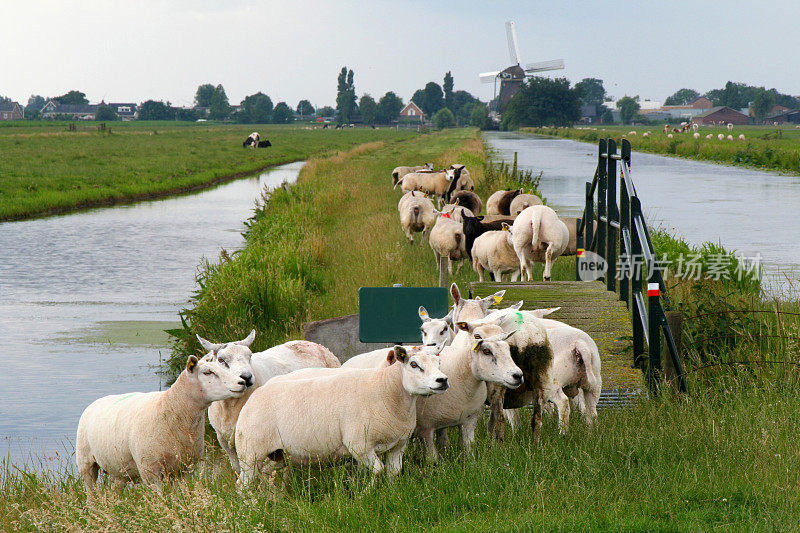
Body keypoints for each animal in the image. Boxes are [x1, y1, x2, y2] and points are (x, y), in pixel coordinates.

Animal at [78, 356, 248, 488]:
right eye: (207, 372)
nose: (242, 382)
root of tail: (97, 401)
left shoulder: (185, 468)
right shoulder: (150, 472)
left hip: (119, 470)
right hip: (85, 462)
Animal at [236, 344, 450, 482]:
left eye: (438, 363)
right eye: (414, 365)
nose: (442, 380)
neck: (385, 390)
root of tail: (254, 396)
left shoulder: (398, 445)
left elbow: (392, 474)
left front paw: (391, 494)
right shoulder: (360, 446)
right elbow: (377, 472)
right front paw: (367, 495)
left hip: (277, 455)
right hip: (250, 454)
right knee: (243, 485)